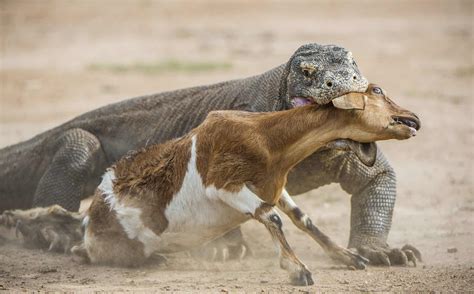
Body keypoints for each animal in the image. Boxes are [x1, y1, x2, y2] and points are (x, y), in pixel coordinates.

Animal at [72, 84, 420, 286]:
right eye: (377, 91)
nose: (413, 118)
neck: (265, 138)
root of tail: (91, 219)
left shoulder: (275, 188)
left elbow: (302, 219)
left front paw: (349, 257)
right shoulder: (224, 185)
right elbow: (271, 217)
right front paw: (298, 270)